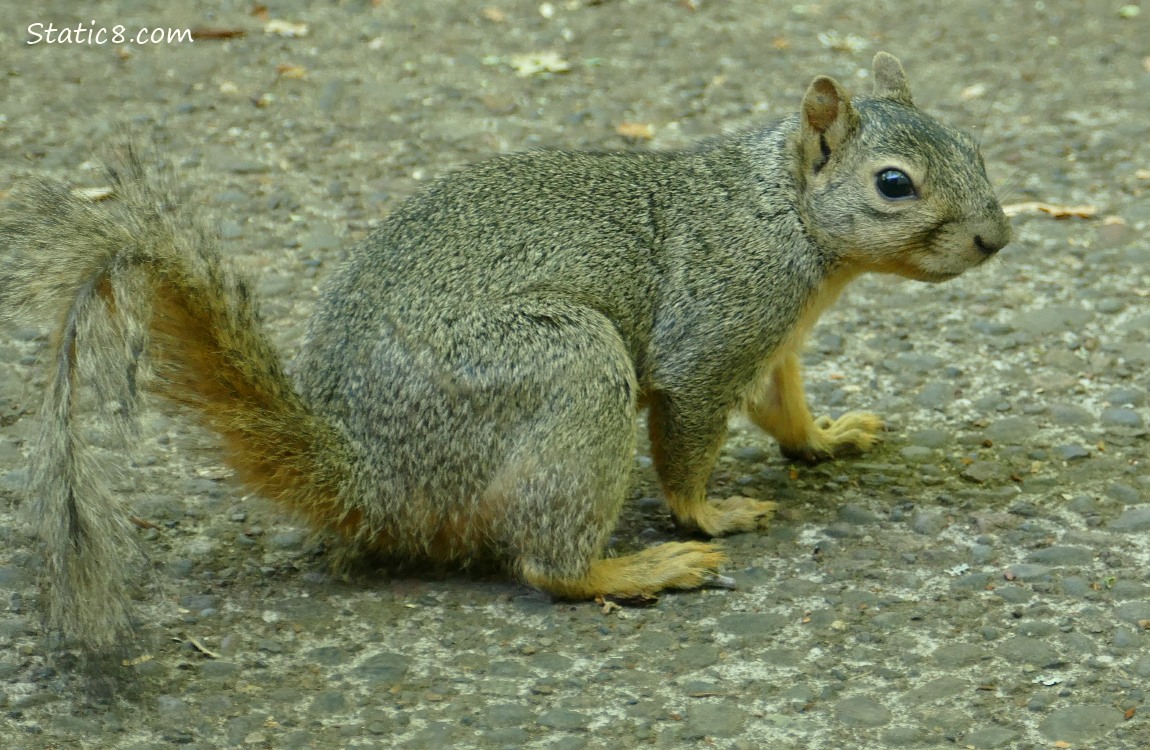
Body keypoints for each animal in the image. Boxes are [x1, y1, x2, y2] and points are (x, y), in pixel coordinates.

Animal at [0, 52, 1009, 652]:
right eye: (894, 185)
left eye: (977, 146)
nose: (997, 239)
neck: (786, 214)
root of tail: (369, 479)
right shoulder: (717, 327)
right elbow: (687, 437)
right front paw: (708, 515)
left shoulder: (770, 338)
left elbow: (783, 406)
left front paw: (829, 437)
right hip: (567, 373)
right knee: (545, 565)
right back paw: (636, 570)